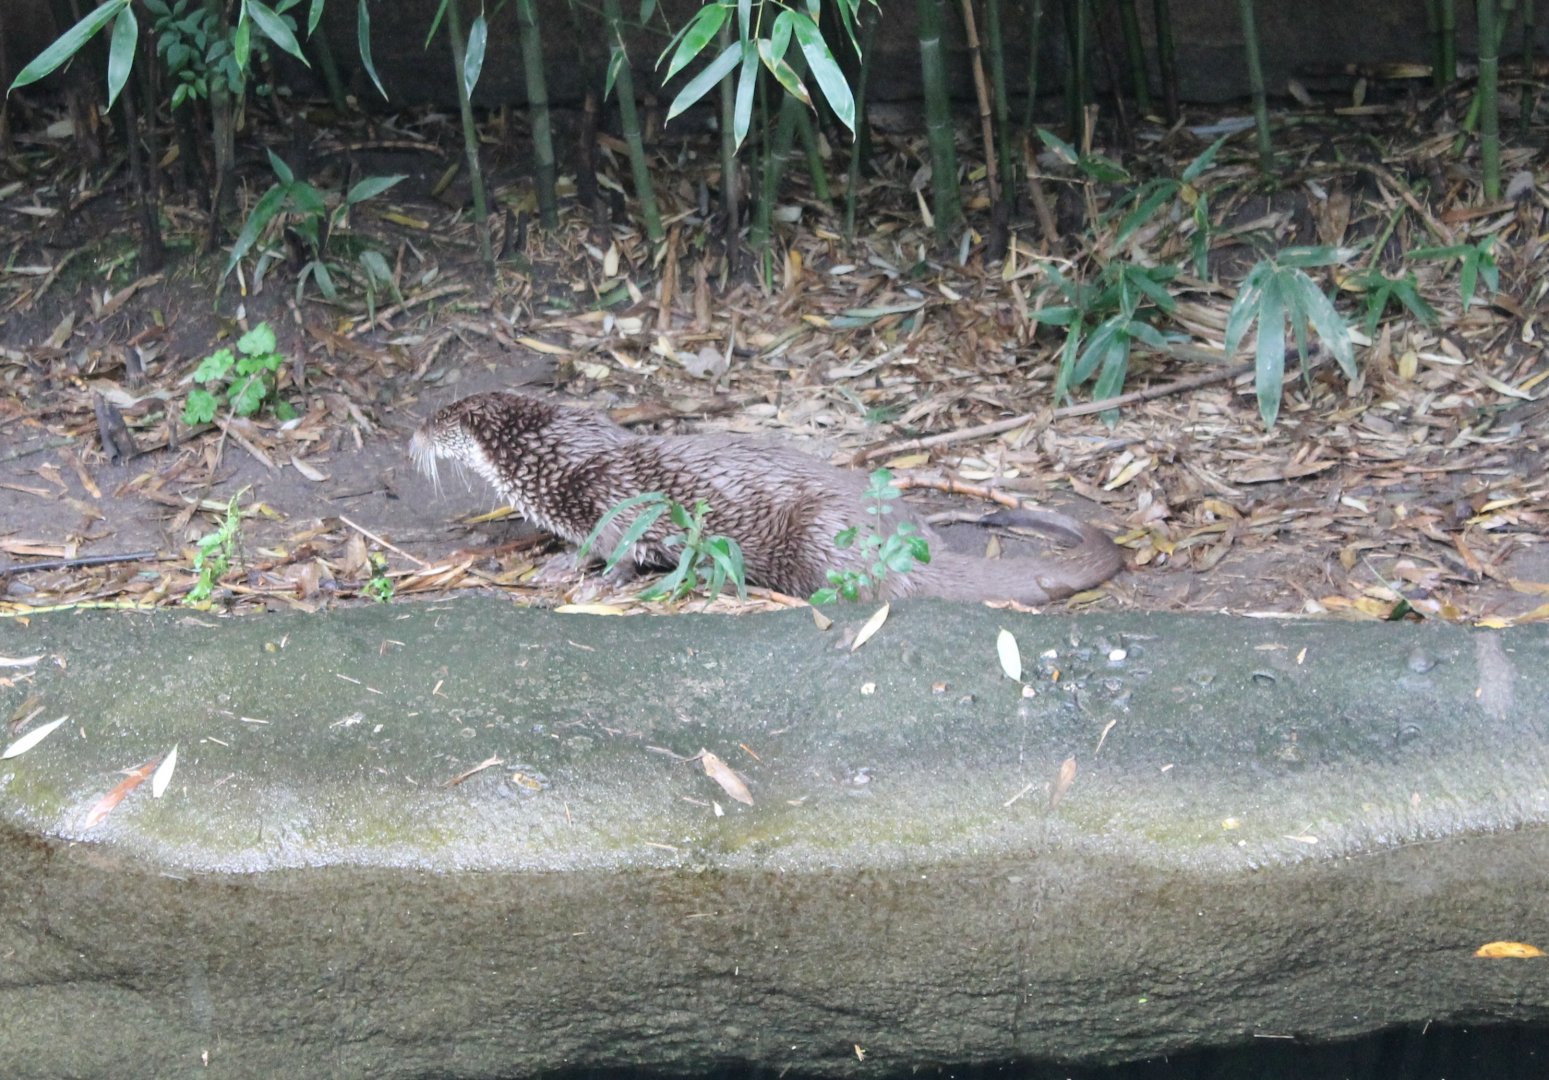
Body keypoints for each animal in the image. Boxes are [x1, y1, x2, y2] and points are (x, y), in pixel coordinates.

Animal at [410, 392, 1123, 604]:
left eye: (438, 415)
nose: (410, 433)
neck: (558, 459)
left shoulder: (610, 498)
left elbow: (613, 552)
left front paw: (577, 579)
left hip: (818, 533)